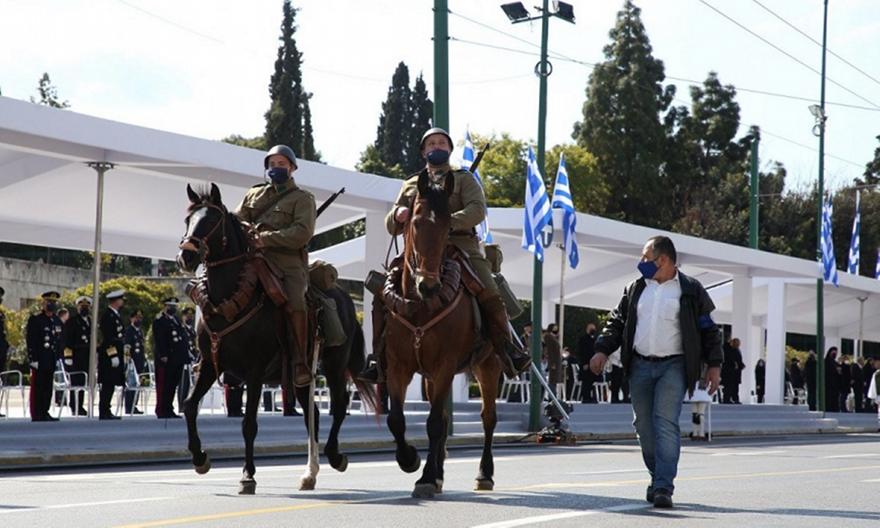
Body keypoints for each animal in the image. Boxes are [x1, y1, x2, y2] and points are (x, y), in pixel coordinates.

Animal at [175, 183, 374, 496]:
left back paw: (334, 456)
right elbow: (189, 406)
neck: (229, 299)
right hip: (299, 375)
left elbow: (249, 423)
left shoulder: (255, 371)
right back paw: (309, 473)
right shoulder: (209, 363)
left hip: (333, 365)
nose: (186, 256)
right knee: (312, 413)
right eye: (188, 219)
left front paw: (248, 476)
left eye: (212, 220)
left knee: (339, 405)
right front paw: (200, 458)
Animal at [384, 170, 502, 500]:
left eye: (449, 225)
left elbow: (435, 423)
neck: (419, 307)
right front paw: (409, 459)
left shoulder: (445, 365)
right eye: (414, 222)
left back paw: (484, 474)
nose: (429, 286)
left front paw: (424, 477)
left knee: (488, 418)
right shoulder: (398, 366)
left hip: (488, 366)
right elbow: (396, 418)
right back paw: (438, 473)